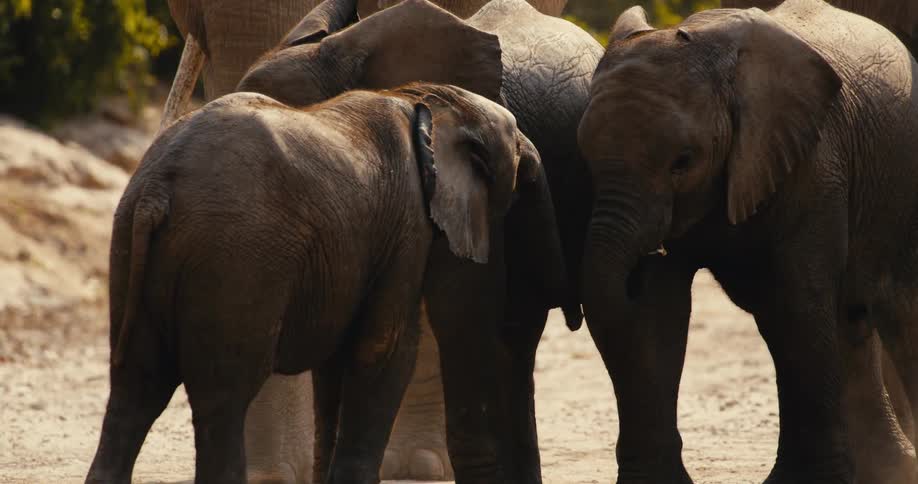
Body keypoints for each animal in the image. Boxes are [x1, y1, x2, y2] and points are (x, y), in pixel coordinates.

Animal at [85, 82, 569, 484]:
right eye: (519, 159)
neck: (424, 97)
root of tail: (158, 189)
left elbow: (337, 362)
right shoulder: (407, 222)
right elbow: (385, 348)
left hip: (131, 245)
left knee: (135, 389)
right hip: (235, 260)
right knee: (221, 398)